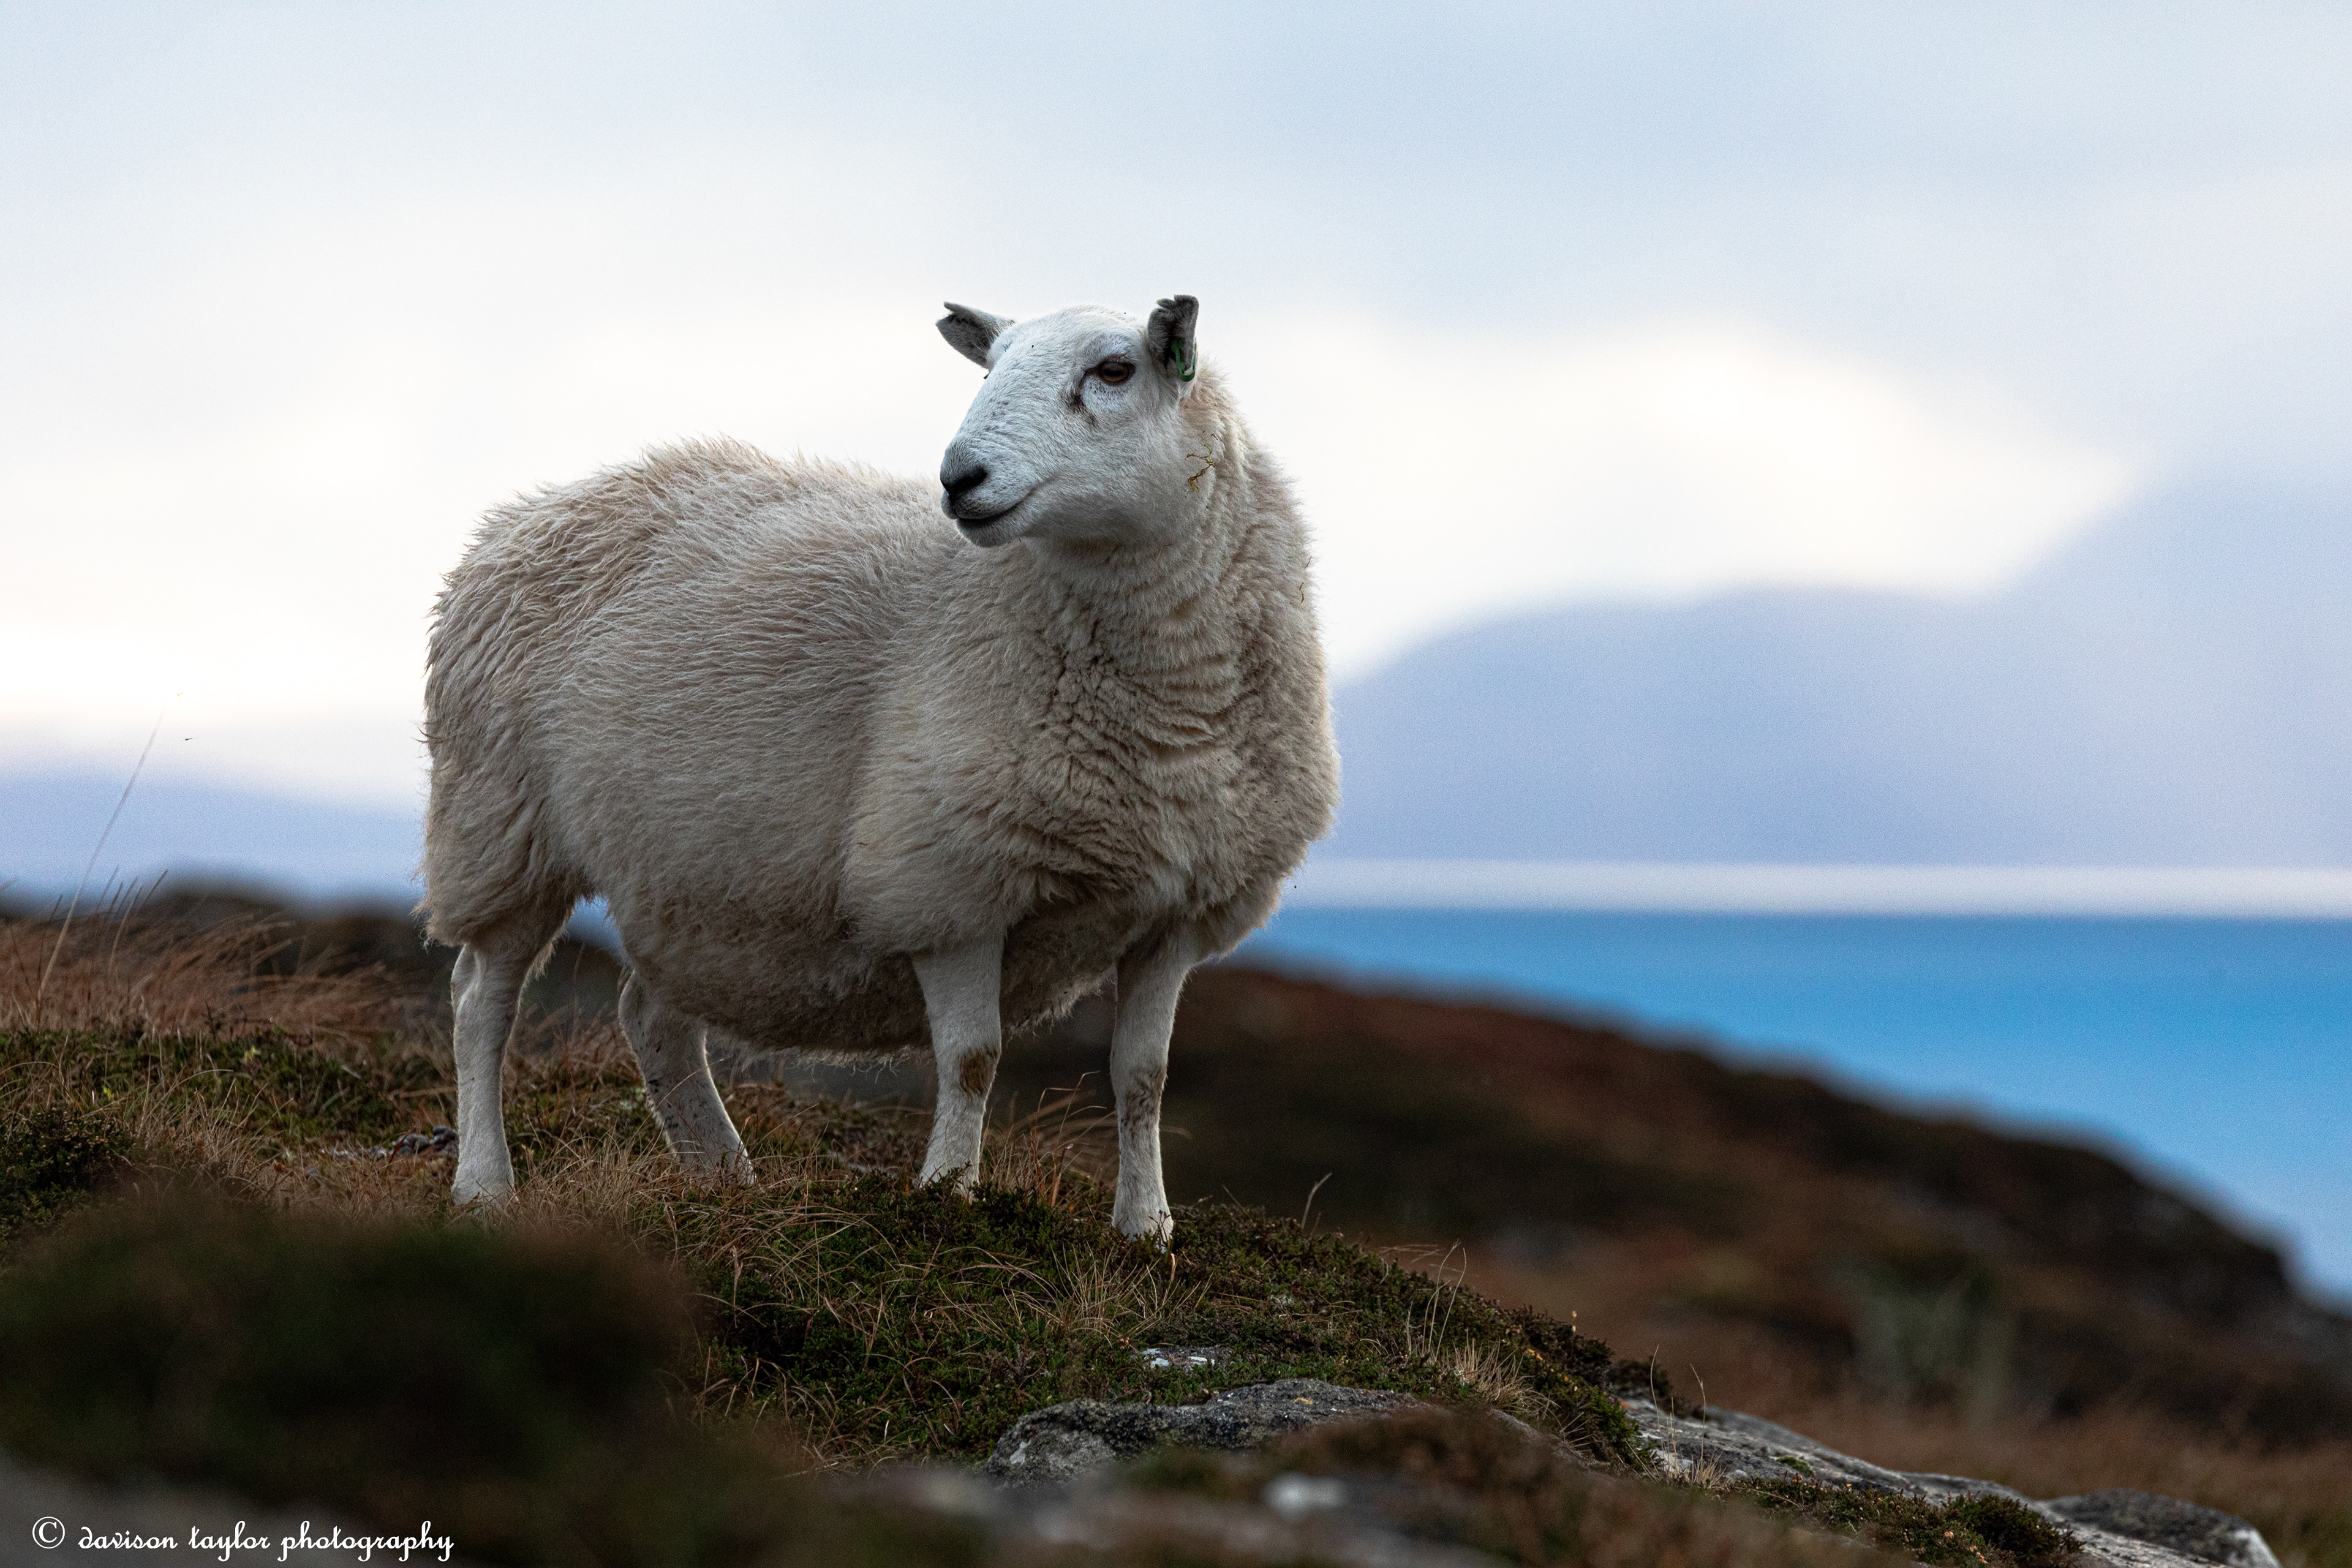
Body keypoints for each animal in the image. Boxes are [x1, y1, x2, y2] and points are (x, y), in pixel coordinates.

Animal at [420, 295, 1338, 1243]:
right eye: (989, 367)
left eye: (1114, 371)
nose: (960, 477)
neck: (1171, 718)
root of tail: (521, 515)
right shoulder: (949, 882)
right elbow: (973, 1058)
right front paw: (949, 1196)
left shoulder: (1177, 912)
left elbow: (1143, 1079)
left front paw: (1147, 1229)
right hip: (501, 826)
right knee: (480, 1003)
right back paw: (485, 1182)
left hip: (694, 873)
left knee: (652, 1016)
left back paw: (722, 1173)